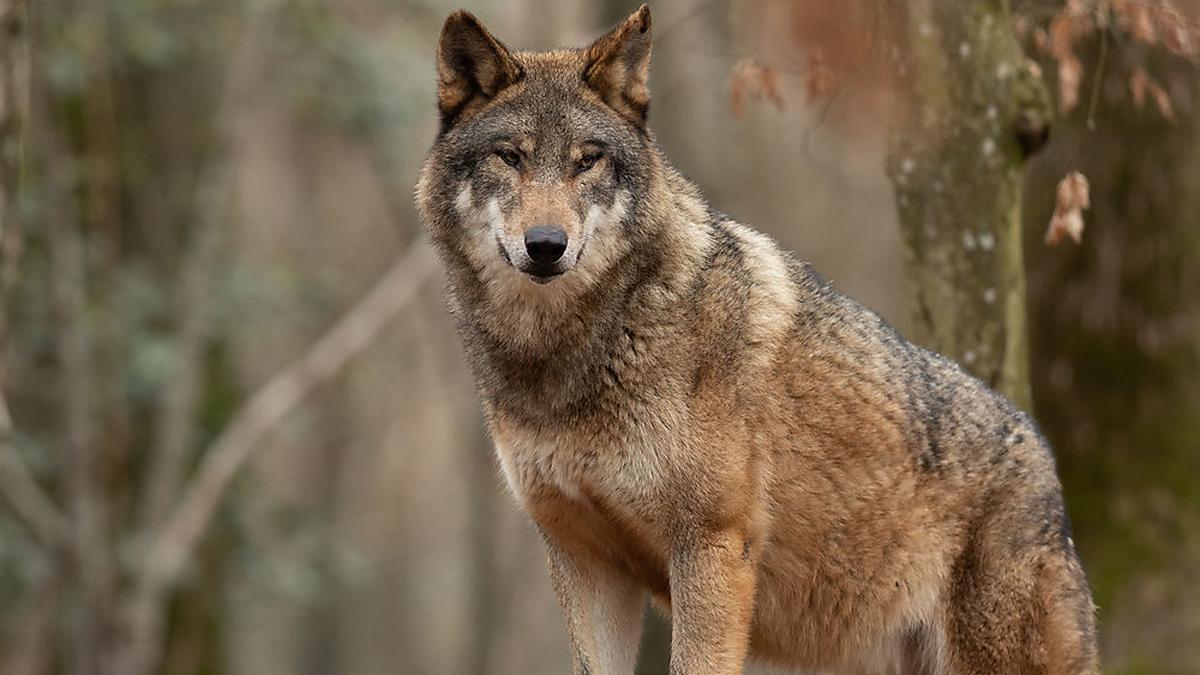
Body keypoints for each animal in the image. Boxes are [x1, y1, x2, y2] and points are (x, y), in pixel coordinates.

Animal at [417, 6, 1099, 672]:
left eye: (587, 160)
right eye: (510, 157)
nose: (546, 245)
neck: (569, 355)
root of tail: (1045, 458)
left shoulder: (712, 544)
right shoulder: (584, 561)